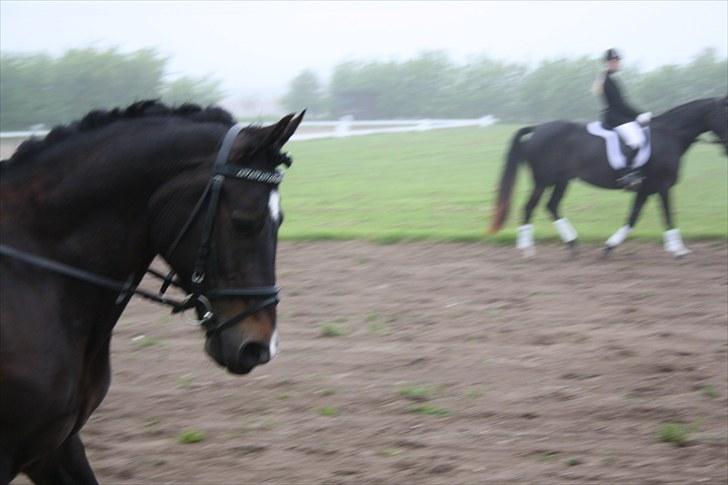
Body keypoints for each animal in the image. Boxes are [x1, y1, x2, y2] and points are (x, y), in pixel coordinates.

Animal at [490, 97, 728, 258]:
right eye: (724, 114)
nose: (726, 148)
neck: (669, 134)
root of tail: (538, 128)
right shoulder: (662, 185)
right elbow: (668, 214)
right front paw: (679, 250)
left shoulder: (646, 188)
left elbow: (632, 217)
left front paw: (609, 246)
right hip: (543, 181)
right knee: (530, 207)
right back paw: (527, 249)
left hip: (561, 181)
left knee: (552, 206)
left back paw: (572, 243)